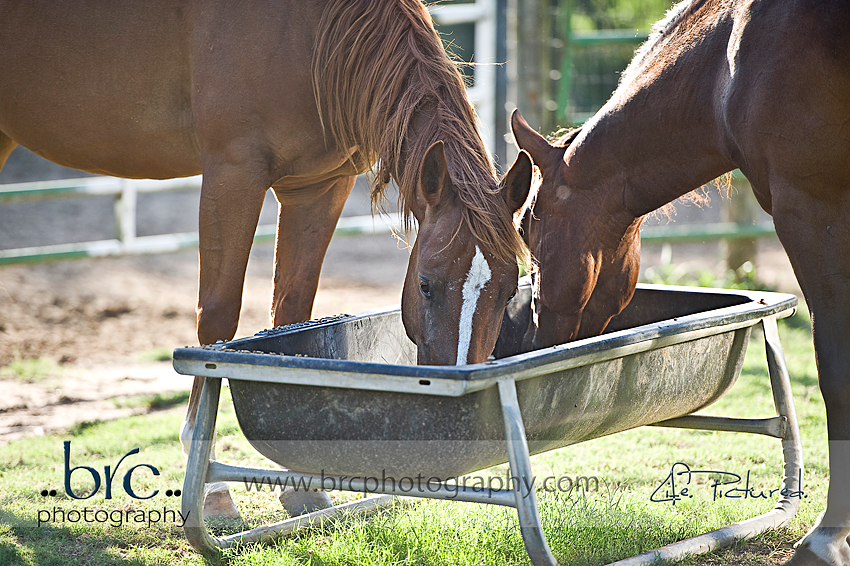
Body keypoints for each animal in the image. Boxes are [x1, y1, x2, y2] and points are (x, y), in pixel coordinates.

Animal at [0, 0, 531, 517]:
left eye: (509, 290)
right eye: (425, 284)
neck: (306, 31)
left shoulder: (319, 187)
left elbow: (293, 315)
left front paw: (302, 490)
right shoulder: (232, 173)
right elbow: (216, 319)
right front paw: (213, 492)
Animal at [511, 0, 850, 564]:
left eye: (525, 227)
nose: (533, 331)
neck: (726, 67)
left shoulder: (812, 208)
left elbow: (836, 374)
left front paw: (825, 539)